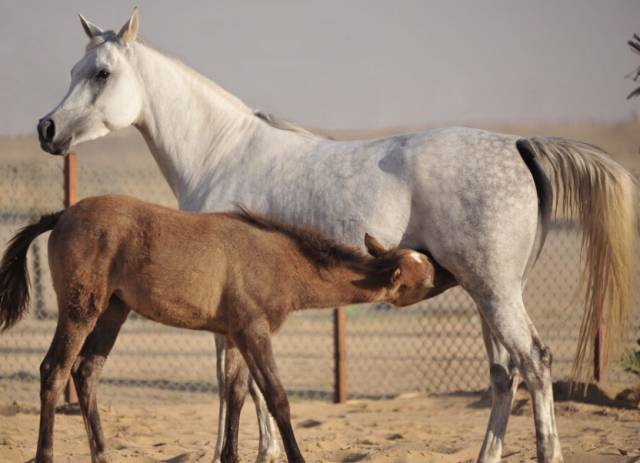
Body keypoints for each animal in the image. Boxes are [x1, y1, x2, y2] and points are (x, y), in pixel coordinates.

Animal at [0, 194, 456, 462]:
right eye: (426, 274)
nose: (451, 271)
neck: (279, 260)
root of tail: (63, 214)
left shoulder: (235, 334)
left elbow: (236, 394)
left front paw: (231, 456)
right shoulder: (254, 330)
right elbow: (276, 396)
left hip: (113, 310)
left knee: (86, 371)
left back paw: (101, 455)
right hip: (81, 309)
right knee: (54, 369)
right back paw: (45, 454)